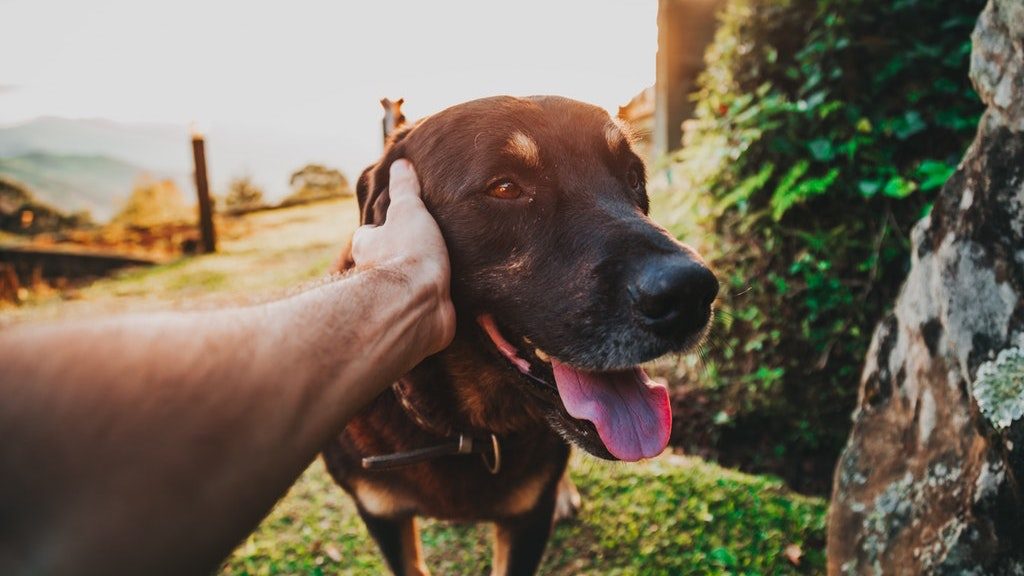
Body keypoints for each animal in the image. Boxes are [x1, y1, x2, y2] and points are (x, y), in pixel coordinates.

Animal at [323, 96, 716, 569]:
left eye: (632, 177)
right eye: (505, 188)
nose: (692, 294)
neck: (464, 432)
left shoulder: (528, 519)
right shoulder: (381, 514)